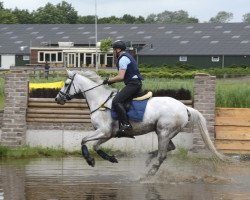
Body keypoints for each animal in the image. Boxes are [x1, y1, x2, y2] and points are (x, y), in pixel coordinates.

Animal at [55, 69, 231, 176]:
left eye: (66, 84)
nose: (57, 99)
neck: (100, 101)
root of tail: (184, 107)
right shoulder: (108, 134)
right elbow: (96, 146)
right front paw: (110, 159)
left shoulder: (104, 131)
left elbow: (83, 140)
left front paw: (89, 160)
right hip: (164, 132)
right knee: (170, 148)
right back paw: (148, 159)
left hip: (164, 132)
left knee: (163, 155)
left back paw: (148, 174)